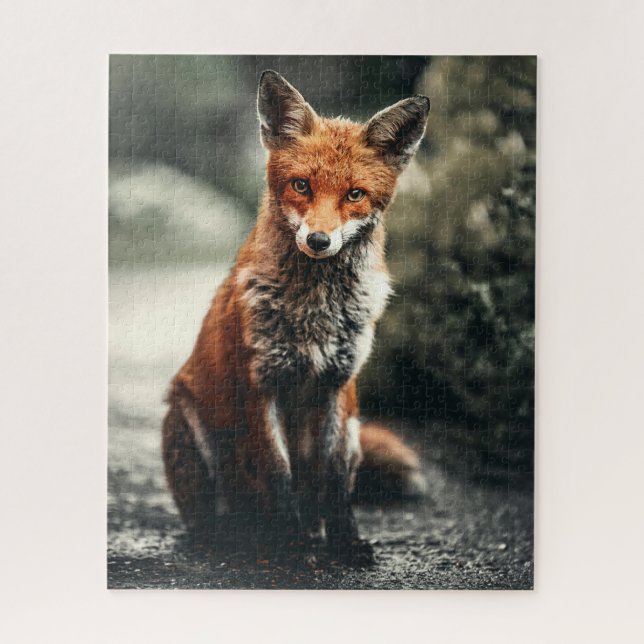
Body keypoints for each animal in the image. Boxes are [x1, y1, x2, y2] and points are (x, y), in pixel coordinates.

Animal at [162, 70, 430, 566]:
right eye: (301, 185)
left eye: (355, 194)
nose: (320, 240)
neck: (315, 312)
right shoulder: (260, 384)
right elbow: (277, 475)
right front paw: (290, 548)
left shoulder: (338, 387)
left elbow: (335, 484)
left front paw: (344, 543)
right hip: (188, 425)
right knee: (213, 515)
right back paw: (231, 538)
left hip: (354, 429)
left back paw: (310, 532)